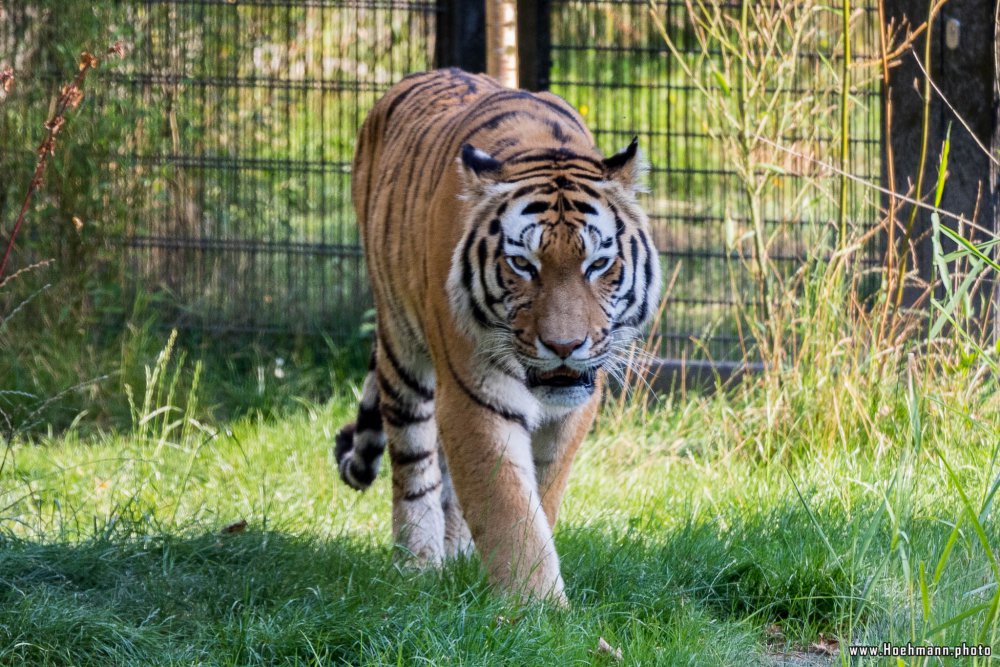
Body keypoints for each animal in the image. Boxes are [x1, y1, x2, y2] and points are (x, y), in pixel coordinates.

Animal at [336, 68, 664, 604]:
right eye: (522, 264)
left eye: (598, 264)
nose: (564, 347)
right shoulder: (474, 392)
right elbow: (508, 506)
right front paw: (538, 606)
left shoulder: (575, 405)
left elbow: (539, 494)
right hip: (402, 343)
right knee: (415, 462)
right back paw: (418, 562)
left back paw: (457, 556)